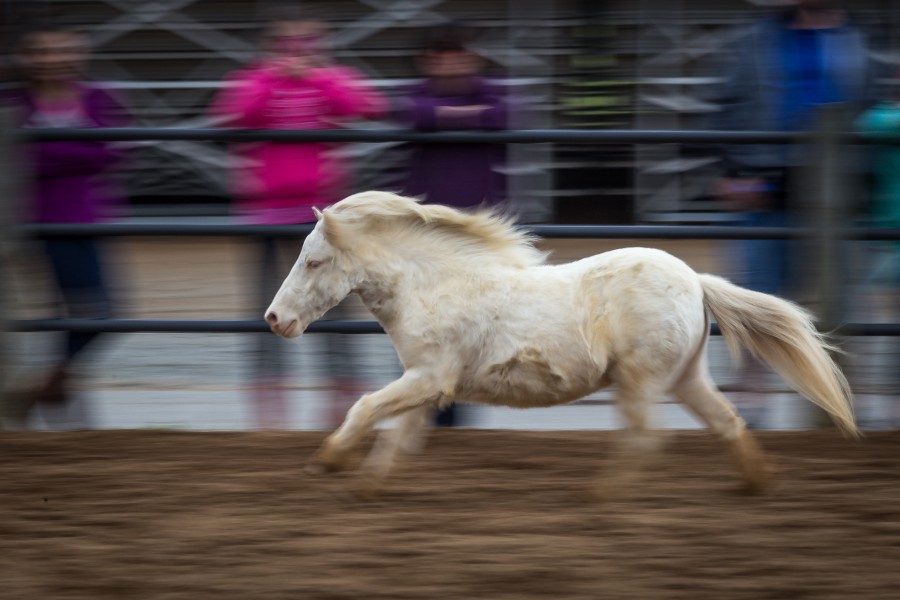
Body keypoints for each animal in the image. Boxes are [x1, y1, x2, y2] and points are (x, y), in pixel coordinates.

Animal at [264, 191, 858, 499]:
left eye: (313, 261)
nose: (275, 319)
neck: (434, 286)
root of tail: (695, 279)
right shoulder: (427, 383)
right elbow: (398, 435)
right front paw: (368, 483)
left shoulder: (429, 377)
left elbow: (366, 408)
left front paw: (329, 462)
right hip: (686, 377)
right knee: (726, 421)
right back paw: (756, 482)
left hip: (641, 380)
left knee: (648, 437)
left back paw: (604, 495)